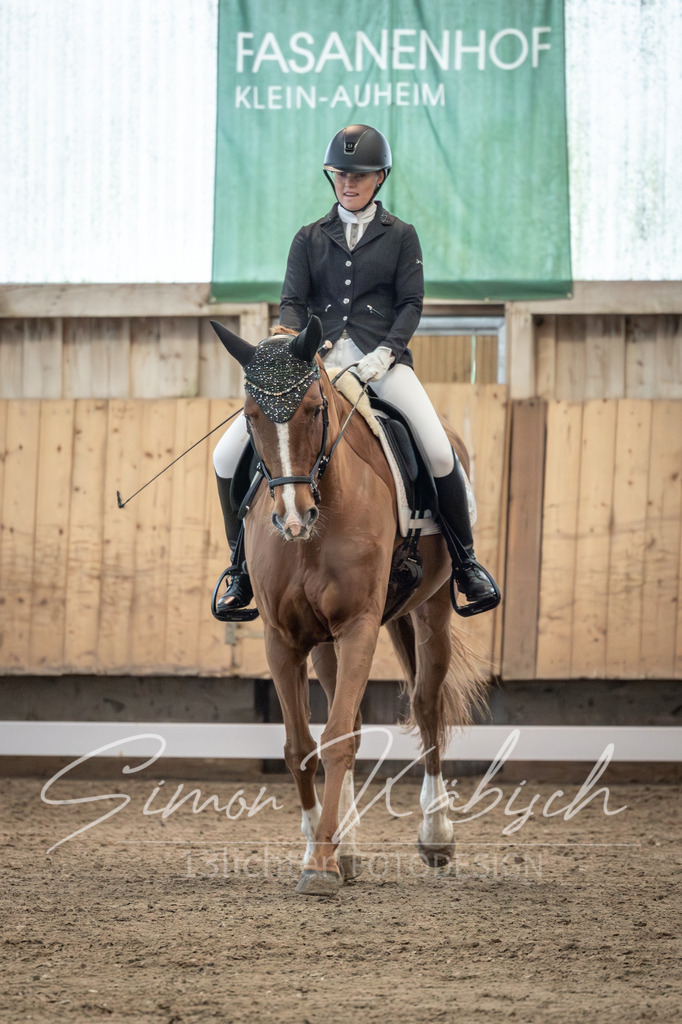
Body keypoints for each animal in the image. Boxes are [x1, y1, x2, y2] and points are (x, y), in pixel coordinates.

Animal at [211, 315, 487, 896]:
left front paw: (320, 864)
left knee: (426, 706)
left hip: (431, 612)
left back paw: (436, 834)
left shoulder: (359, 625)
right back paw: (350, 840)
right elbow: (301, 746)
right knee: (355, 717)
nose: (293, 518)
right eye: (250, 417)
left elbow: (337, 738)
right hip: (323, 642)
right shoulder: (284, 638)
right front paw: (324, 845)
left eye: (315, 409)